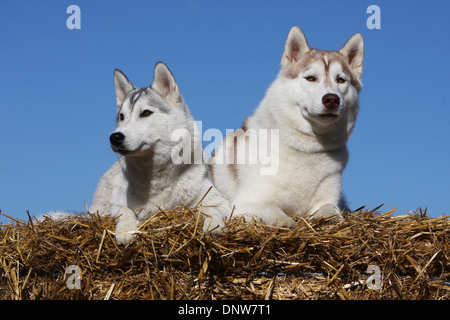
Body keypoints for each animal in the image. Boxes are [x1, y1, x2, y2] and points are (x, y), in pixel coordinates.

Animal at [92, 62, 230, 245]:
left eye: (146, 113)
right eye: (122, 117)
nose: (115, 137)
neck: (157, 178)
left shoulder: (222, 202)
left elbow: (209, 208)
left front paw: (213, 226)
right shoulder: (117, 204)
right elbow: (125, 210)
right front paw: (126, 230)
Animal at [210, 26, 362, 229]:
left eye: (341, 80)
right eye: (310, 78)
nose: (331, 99)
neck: (306, 148)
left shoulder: (329, 198)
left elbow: (330, 209)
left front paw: (324, 218)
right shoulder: (244, 203)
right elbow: (271, 208)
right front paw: (283, 220)